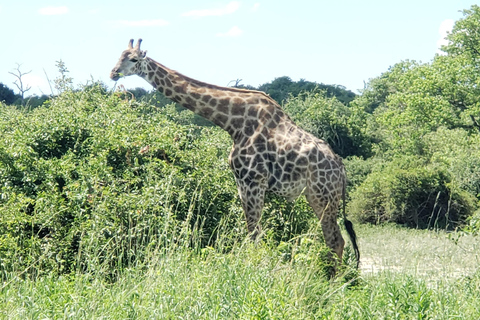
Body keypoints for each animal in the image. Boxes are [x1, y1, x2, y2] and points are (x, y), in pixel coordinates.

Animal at [110, 38, 358, 268]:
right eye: (119, 56)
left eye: (134, 59)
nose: (113, 73)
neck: (232, 123)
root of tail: (342, 170)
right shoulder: (242, 183)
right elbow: (253, 232)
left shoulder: (252, 181)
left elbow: (253, 233)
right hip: (317, 197)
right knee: (334, 239)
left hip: (322, 196)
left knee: (335, 240)